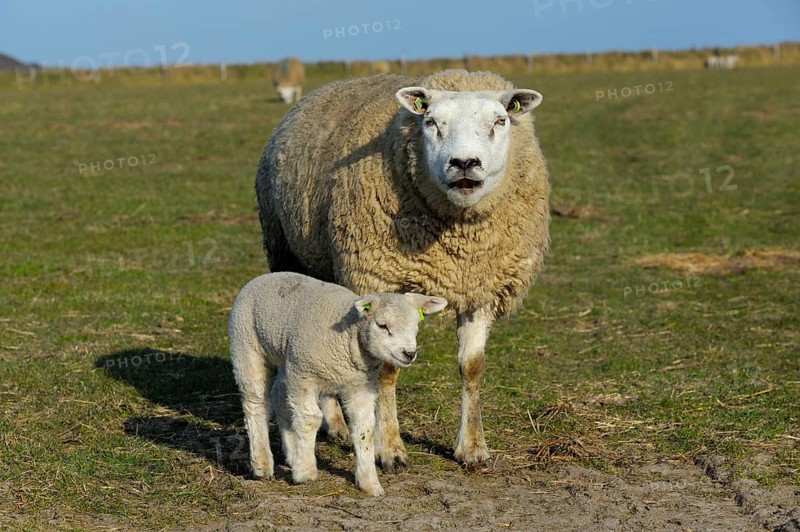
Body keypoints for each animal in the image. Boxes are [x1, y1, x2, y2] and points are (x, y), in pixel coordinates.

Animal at [229, 271, 447, 496]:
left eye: (416, 327)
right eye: (382, 325)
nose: (409, 354)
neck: (349, 339)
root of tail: (265, 276)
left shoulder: (360, 386)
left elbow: (365, 429)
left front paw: (369, 483)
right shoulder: (303, 374)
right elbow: (310, 419)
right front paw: (305, 472)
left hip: (286, 357)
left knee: (279, 395)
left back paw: (291, 453)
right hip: (246, 344)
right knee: (255, 403)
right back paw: (262, 464)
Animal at [255, 69, 549, 471]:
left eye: (500, 121)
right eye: (431, 122)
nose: (464, 163)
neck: (457, 242)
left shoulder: (481, 288)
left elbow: (472, 367)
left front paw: (473, 449)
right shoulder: (380, 280)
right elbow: (387, 372)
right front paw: (389, 448)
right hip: (286, 250)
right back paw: (337, 424)